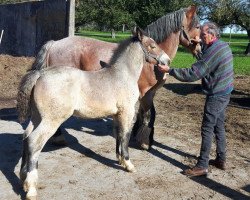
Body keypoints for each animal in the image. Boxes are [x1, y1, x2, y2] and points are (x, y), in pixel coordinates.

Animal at [31, 5, 201, 149]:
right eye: (198, 26)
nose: (200, 50)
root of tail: (54, 43)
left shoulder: (146, 94)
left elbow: (144, 114)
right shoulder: (146, 93)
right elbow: (148, 115)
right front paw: (144, 142)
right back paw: (58, 138)